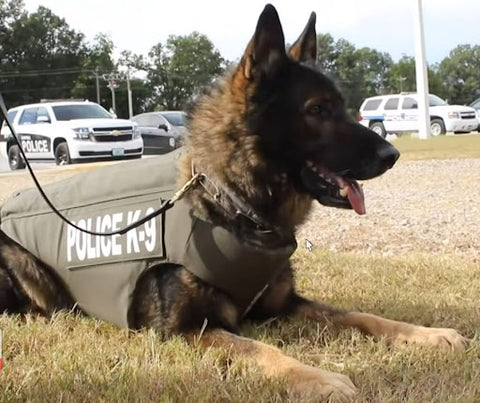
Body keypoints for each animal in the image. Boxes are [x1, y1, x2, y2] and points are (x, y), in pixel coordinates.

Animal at [0, 4, 466, 402]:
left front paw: (426, 334)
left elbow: (361, 315)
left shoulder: (284, 305)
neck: (231, 201)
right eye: (318, 109)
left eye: (344, 108)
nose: (393, 155)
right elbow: (263, 350)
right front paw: (321, 378)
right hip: (26, 268)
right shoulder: (189, 330)